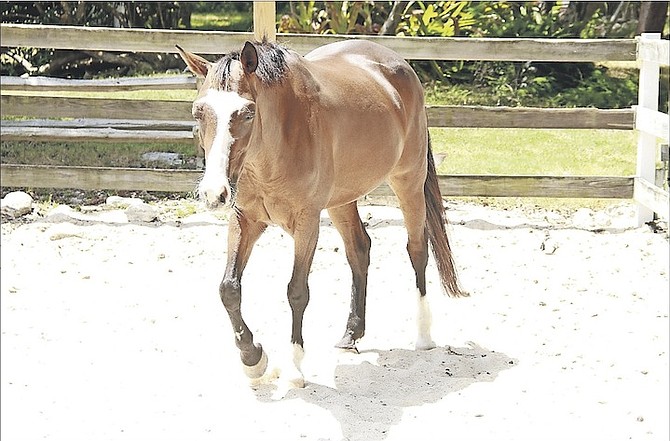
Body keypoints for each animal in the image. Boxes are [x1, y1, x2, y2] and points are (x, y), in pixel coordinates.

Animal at [176, 38, 464, 388]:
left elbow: (297, 292)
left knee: (417, 249)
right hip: (342, 201)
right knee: (359, 250)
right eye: (199, 112)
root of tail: (398, 64)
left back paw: (423, 335)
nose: (213, 193)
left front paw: (295, 368)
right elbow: (229, 288)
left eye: (247, 113)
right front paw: (253, 358)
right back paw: (351, 334)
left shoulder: (307, 223)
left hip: (408, 180)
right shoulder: (245, 219)